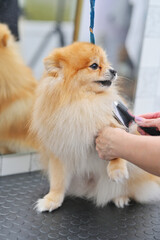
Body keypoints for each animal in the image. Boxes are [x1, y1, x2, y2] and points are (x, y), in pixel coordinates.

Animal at [31, 41, 160, 212]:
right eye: (94, 66)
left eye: (106, 63)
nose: (114, 70)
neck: (82, 100)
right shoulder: (60, 150)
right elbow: (58, 181)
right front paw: (52, 200)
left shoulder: (113, 124)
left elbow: (117, 147)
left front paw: (117, 170)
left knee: (126, 188)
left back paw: (120, 197)